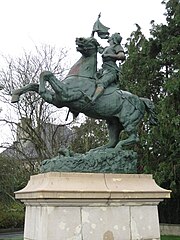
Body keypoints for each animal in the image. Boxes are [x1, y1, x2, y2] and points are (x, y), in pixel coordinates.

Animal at [11, 37, 158, 150]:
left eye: (92, 40)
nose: (79, 39)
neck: (81, 76)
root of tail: (141, 100)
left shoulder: (66, 94)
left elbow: (46, 73)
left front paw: (40, 88)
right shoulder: (56, 99)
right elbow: (34, 84)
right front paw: (15, 95)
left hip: (128, 120)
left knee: (133, 138)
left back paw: (118, 147)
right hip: (112, 122)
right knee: (112, 140)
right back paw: (98, 150)